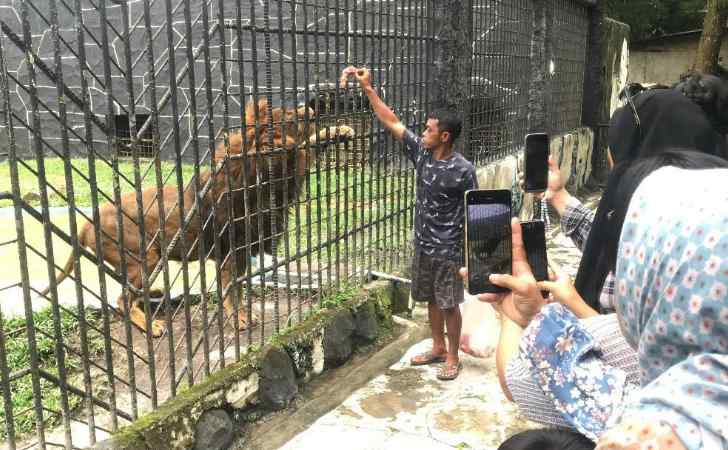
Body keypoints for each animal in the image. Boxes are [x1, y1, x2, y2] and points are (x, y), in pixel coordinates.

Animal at [42, 99, 356, 338]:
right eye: (289, 114)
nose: (311, 109)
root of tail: (87, 222)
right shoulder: (231, 249)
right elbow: (230, 290)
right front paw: (240, 319)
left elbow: (307, 147)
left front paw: (339, 130)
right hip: (145, 257)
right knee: (122, 300)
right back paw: (152, 326)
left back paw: (154, 296)